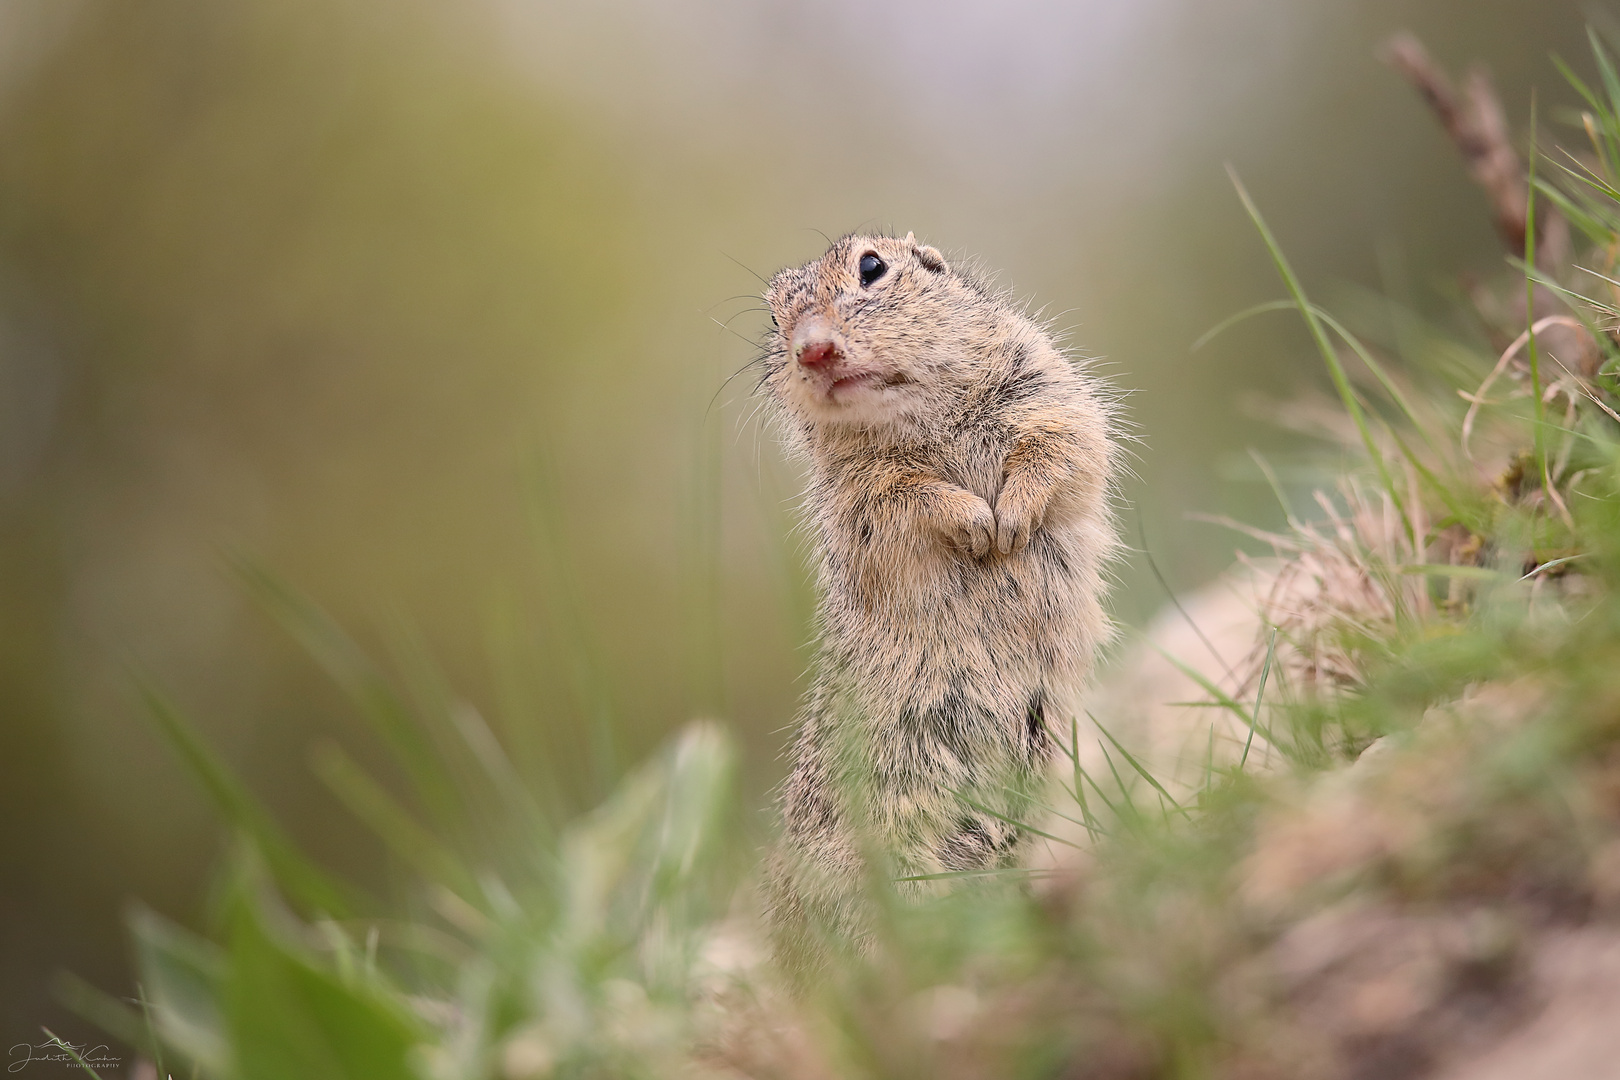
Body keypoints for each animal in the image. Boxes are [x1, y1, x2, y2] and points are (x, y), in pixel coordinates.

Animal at [754, 229, 1114, 965]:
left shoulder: (1049, 394)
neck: (922, 420)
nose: (812, 350)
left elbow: (1061, 449)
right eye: (772, 319)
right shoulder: (863, 500)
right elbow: (912, 503)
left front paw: (1010, 520)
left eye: (872, 267)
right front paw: (977, 524)